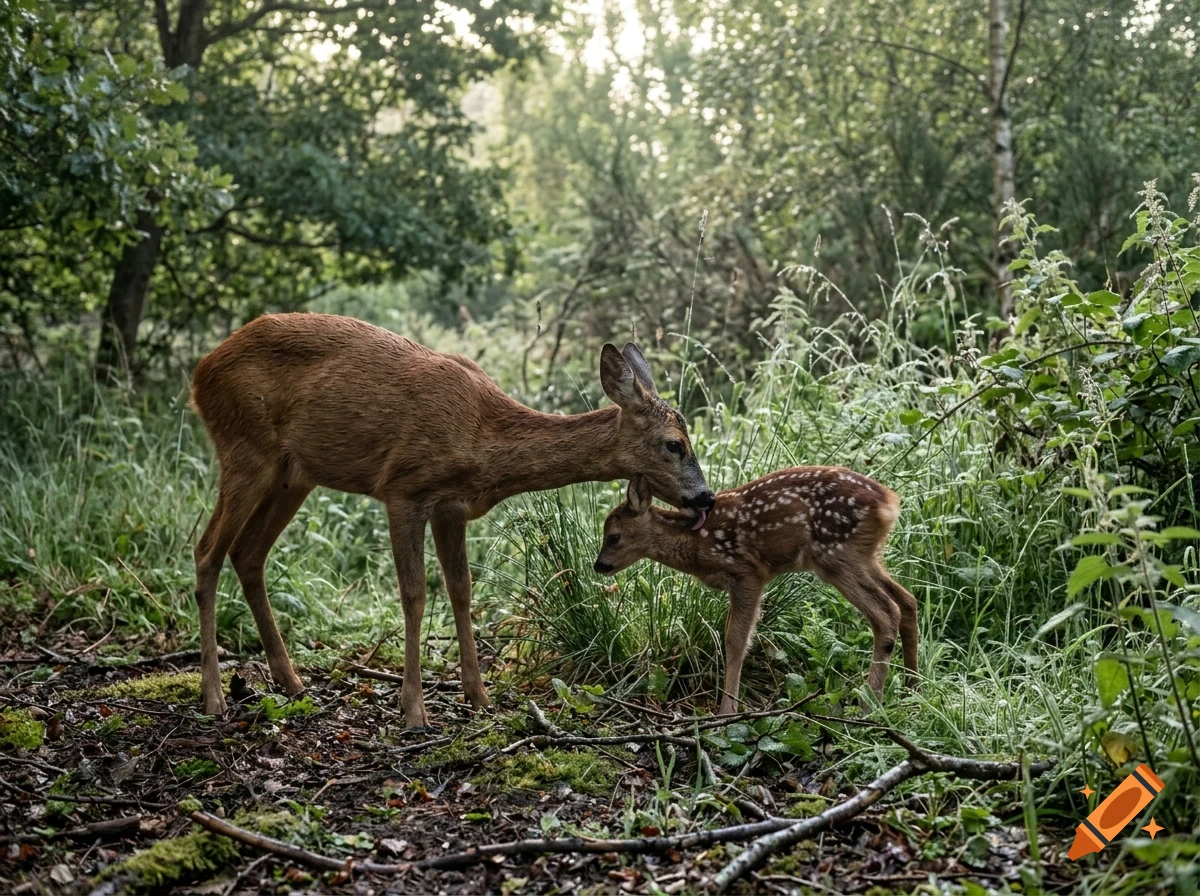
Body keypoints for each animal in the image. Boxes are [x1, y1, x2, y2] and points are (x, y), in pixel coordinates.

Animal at [189, 312, 715, 727]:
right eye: (674, 444)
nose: (706, 498)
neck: (482, 437)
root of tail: (200, 372)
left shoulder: (452, 507)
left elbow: (462, 590)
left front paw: (479, 696)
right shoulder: (402, 488)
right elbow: (415, 594)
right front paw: (414, 710)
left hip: (293, 474)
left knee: (247, 552)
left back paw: (292, 682)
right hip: (244, 449)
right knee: (207, 550)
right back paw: (214, 697)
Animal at [592, 468, 918, 713]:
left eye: (614, 536)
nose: (599, 565)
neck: (697, 543)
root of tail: (889, 501)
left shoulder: (748, 572)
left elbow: (736, 639)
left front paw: (727, 711)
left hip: (835, 555)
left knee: (886, 612)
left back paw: (869, 705)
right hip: (863, 556)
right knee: (907, 600)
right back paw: (912, 687)